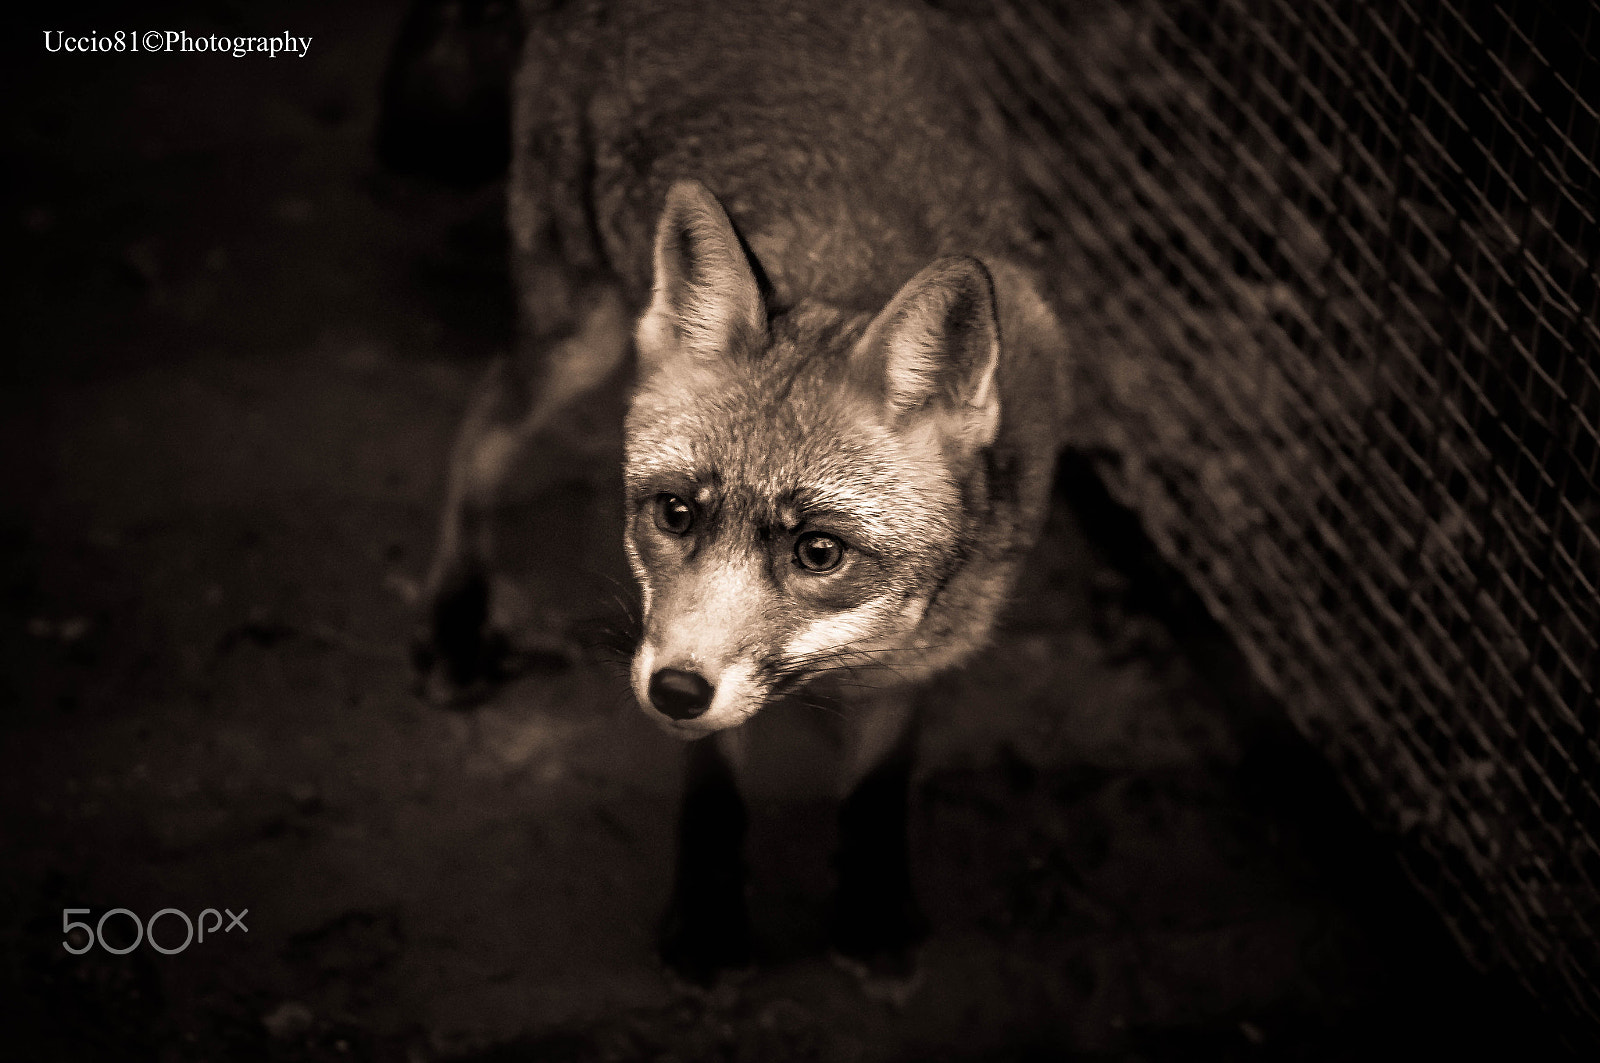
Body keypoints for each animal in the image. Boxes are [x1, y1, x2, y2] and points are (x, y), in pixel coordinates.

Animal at [411, 0, 1071, 986]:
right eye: (676, 513)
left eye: (819, 550)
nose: (674, 691)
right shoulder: (683, 654)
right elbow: (716, 795)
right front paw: (709, 924)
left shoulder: (929, 653)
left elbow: (876, 795)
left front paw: (872, 916)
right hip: (580, 340)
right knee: (481, 429)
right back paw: (455, 622)